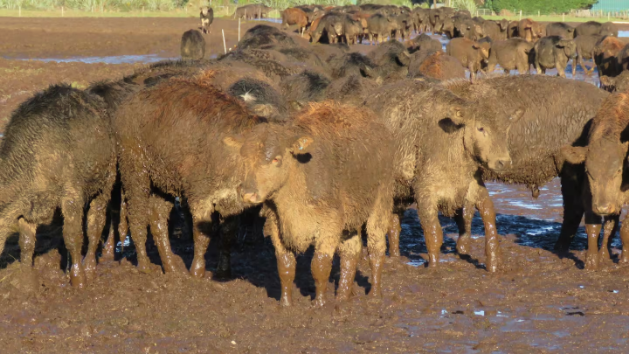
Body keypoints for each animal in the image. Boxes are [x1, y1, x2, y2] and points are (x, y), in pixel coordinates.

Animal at [111, 73, 268, 280]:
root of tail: (123, 109)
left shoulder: (232, 204)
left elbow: (227, 234)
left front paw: (223, 272)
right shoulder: (199, 197)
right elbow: (202, 233)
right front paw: (197, 272)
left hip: (163, 181)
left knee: (158, 220)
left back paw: (171, 267)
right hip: (135, 173)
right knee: (137, 216)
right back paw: (145, 265)